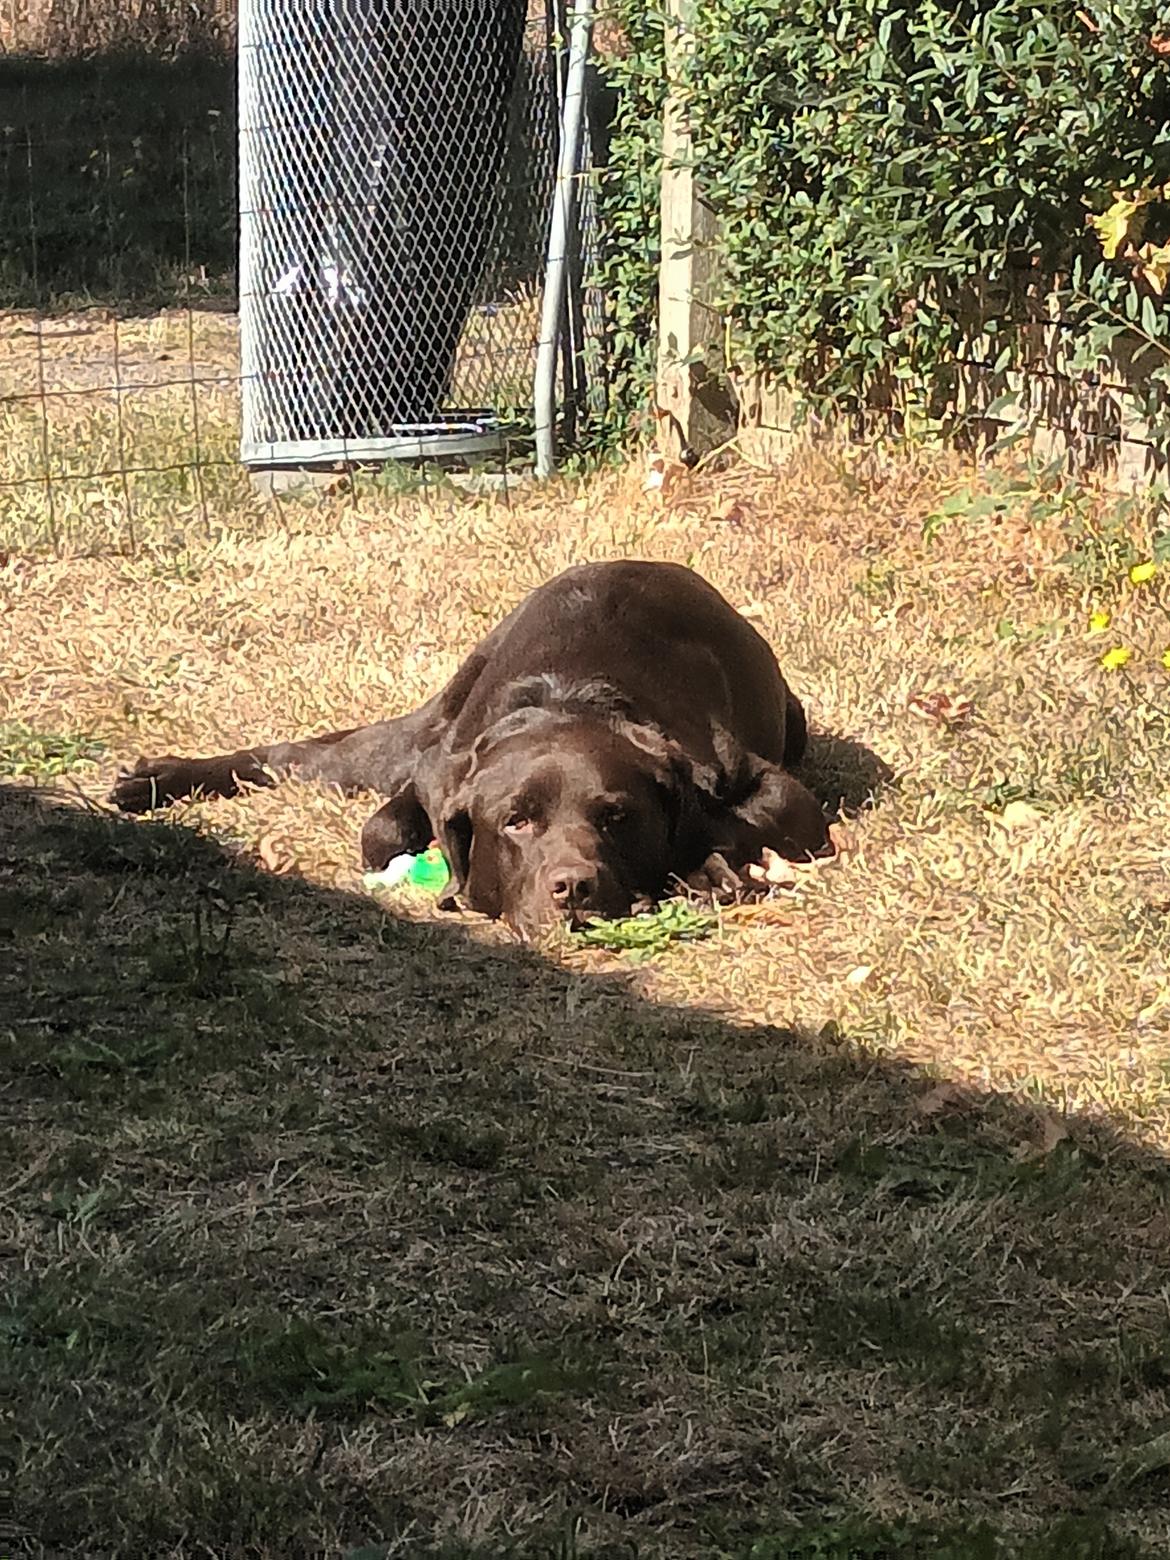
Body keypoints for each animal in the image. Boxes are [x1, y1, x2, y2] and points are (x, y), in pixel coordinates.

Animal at [107, 558, 823, 929]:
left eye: (617, 817)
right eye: (515, 821)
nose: (573, 887)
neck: (570, 698)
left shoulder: (773, 791)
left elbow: (736, 821)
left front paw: (699, 870)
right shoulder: (436, 769)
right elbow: (381, 831)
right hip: (412, 731)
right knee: (293, 758)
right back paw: (153, 780)